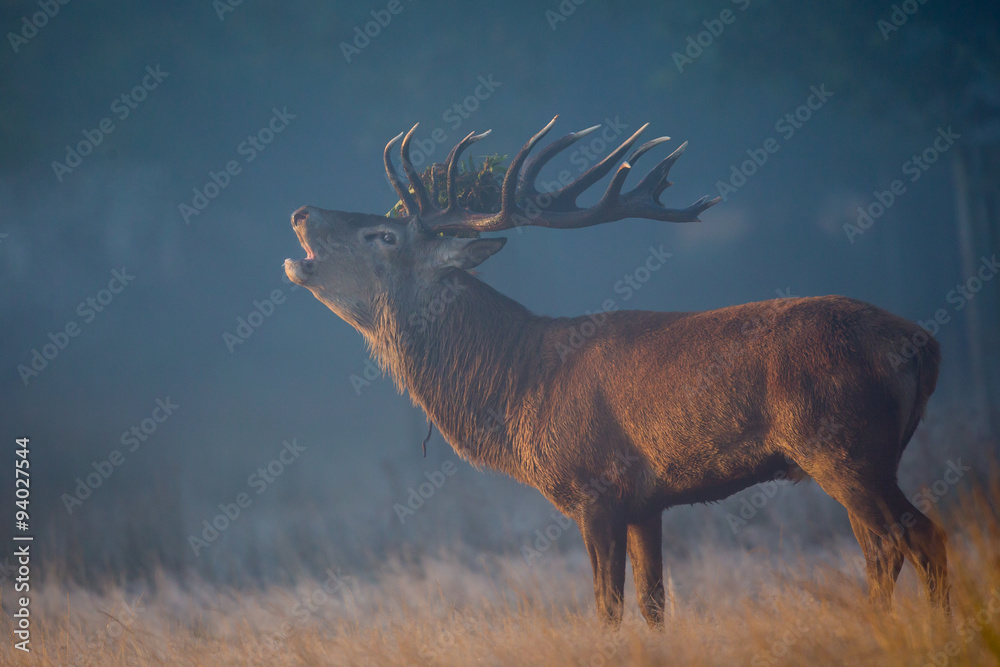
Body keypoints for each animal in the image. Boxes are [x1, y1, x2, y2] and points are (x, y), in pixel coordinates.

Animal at [283, 116, 948, 627]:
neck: (520, 386)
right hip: (864, 454)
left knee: (920, 537)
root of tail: (922, 344)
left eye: (383, 235)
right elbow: (655, 606)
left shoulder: (593, 486)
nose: (300, 211)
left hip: (842, 445)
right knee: (880, 550)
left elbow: (607, 609)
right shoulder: (648, 500)